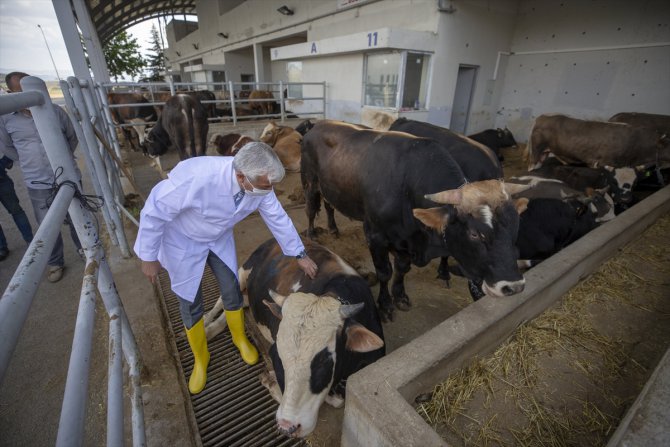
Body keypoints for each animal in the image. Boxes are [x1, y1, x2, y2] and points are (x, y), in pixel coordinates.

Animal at [239, 240, 386, 440]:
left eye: (324, 361)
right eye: (278, 357)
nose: (287, 426)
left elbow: (338, 400)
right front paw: (271, 381)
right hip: (242, 273)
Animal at [304, 119, 532, 322]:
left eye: (516, 228)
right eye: (474, 233)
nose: (514, 286)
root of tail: (318, 125)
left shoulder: (405, 241)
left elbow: (402, 269)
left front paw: (400, 296)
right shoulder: (375, 236)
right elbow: (384, 273)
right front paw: (385, 306)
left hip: (330, 188)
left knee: (328, 206)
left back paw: (333, 228)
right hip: (310, 182)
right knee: (310, 209)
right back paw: (312, 233)